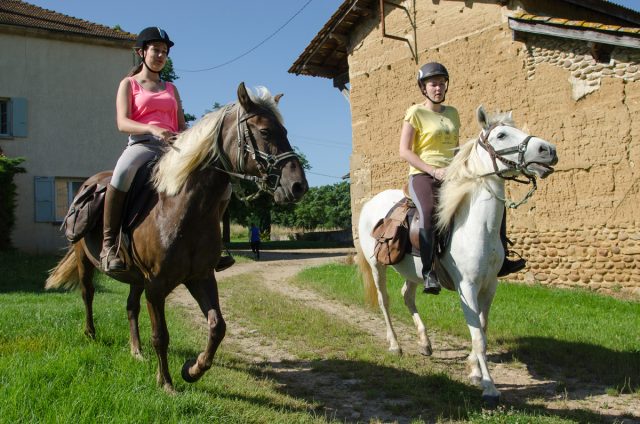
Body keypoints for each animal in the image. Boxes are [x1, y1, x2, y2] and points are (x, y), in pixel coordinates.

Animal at [46, 81, 308, 392]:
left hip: (136, 278)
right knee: (88, 293)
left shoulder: (200, 277)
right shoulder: (156, 286)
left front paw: (193, 369)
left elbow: (218, 326)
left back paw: (136, 352)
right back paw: (91, 334)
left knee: (131, 307)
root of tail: (88, 183)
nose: (298, 186)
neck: (182, 210)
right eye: (265, 132)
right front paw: (167, 383)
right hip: (85, 261)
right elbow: (161, 335)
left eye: (285, 132)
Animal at [358, 106, 556, 404]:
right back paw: (395, 345)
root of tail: (370, 203)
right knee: (385, 301)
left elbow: (482, 327)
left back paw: (425, 343)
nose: (548, 150)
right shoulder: (468, 287)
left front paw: (474, 369)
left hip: (415, 272)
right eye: (501, 135)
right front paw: (488, 386)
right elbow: (478, 337)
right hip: (376, 268)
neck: (476, 226)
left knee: (407, 295)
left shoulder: (490, 286)